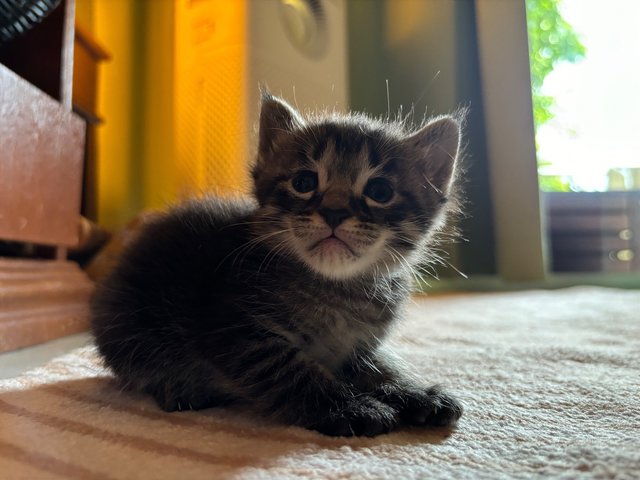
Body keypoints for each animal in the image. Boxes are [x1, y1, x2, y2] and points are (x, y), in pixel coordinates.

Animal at [90, 93, 462, 436]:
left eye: (380, 191)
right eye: (304, 183)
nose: (334, 213)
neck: (337, 289)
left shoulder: (357, 346)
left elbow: (379, 366)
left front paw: (414, 391)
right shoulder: (234, 328)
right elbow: (292, 372)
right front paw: (350, 407)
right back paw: (178, 388)